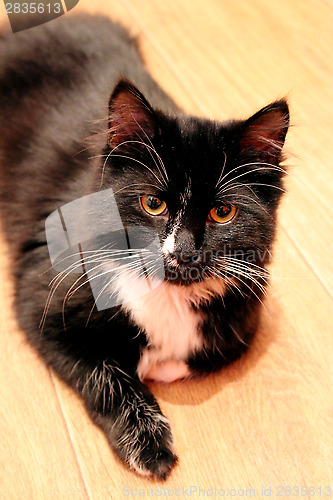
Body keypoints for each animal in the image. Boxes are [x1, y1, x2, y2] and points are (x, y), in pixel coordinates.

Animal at [0, 13, 288, 478]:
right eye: (153, 203)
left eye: (223, 212)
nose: (182, 251)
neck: (168, 296)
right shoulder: (43, 293)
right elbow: (106, 373)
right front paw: (151, 445)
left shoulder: (246, 313)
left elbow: (212, 350)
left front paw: (160, 364)